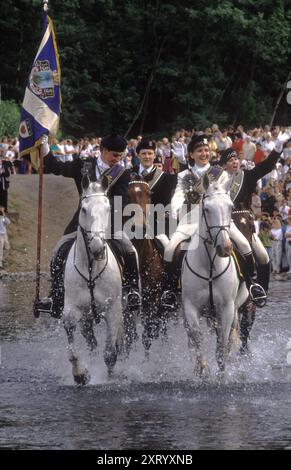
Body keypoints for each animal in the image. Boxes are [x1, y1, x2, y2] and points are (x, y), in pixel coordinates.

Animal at [63, 177, 124, 386]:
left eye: (108, 208)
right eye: (83, 209)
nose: (97, 248)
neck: (91, 269)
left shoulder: (113, 309)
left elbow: (110, 354)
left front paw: (110, 377)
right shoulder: (73, 309)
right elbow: (73, 347)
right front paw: (80, 374)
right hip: (87, 320)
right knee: (92, 344)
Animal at [182, 174, 249, 376]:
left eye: (231, 207)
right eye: (206, 209)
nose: (224, 248)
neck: (210, 266)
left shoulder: (226, 308)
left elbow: (222, 346)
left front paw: (222, 374)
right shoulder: (190, 306)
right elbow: (197, 337)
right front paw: (202, 367)